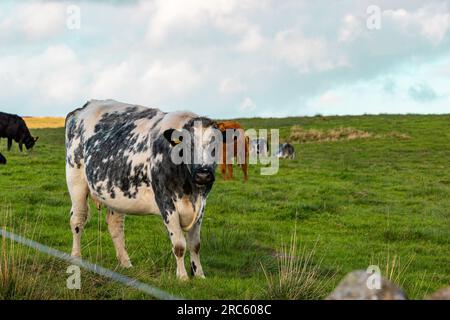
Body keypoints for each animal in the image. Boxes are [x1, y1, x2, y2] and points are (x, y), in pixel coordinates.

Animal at [65, 100, 221, 280]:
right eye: (187, 146)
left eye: (215, 145)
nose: (203, 174)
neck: (190, 191)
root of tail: (84, 107)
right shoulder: (166, 202)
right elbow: (179, 245)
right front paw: (182, 277)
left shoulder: (201, 205)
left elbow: (195, 244)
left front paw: (199, 275)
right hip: (76, 181)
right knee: (78, 219)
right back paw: (76, 258)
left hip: (115, 192)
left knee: (115, 225)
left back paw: (125, 263)